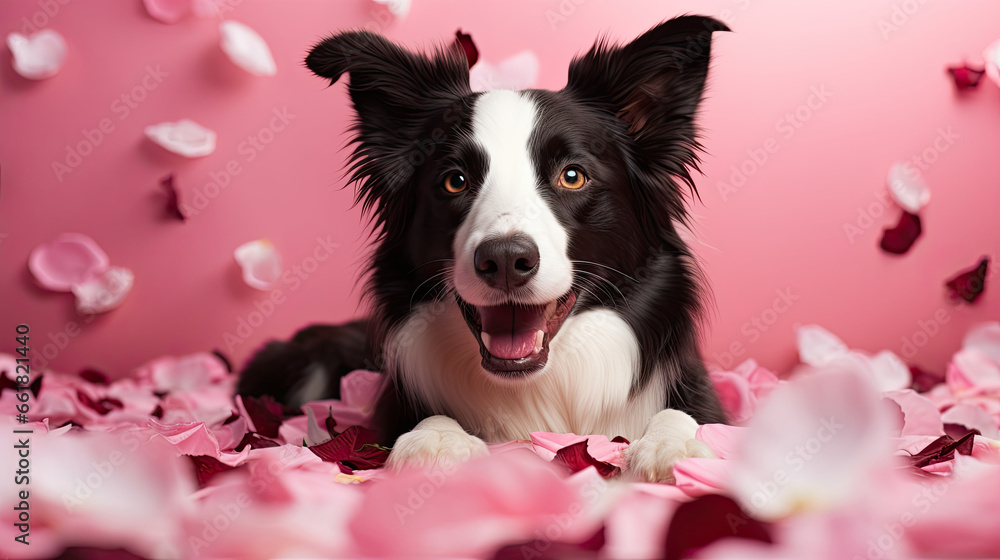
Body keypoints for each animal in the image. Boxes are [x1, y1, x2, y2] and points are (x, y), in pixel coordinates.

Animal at [238, 16, 732, 482]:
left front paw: (674, 444)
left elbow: (683, 414)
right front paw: (436, 441)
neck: (538, 387)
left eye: (572, 175)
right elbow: (426, 418)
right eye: (454, 181)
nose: (506, 261)